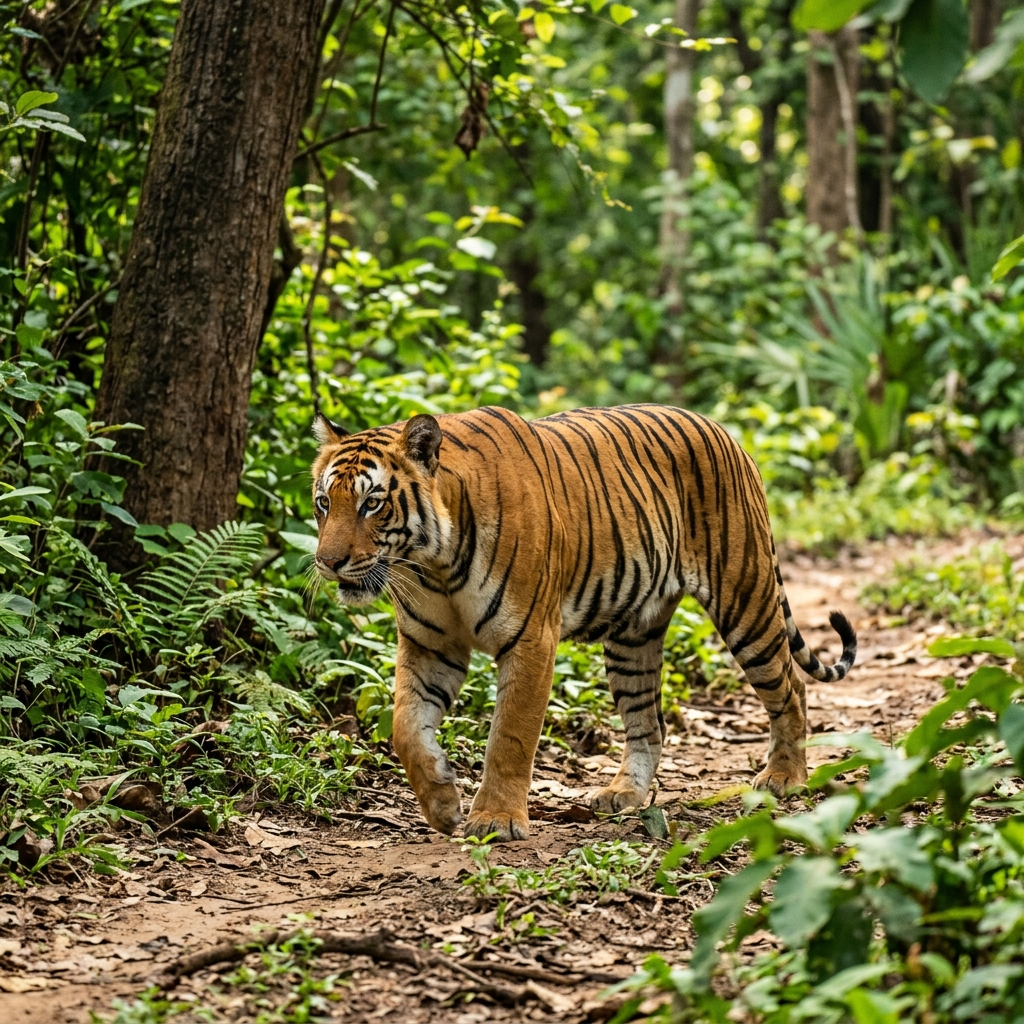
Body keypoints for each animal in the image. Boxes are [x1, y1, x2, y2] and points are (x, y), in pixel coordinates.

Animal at [311, 404, 856, 841]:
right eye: (324, 502)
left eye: (372, 503)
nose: (327, 562)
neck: (433, 563)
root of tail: (724, 431)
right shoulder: (430, 645)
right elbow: (406, 728)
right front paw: (443, 804)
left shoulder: (531, 639)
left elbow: (510, 736)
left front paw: (495, 820)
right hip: (634, 637)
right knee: (648, 722)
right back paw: (624, 794)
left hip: (745, 599)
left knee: (791, 687)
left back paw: (785, 778)